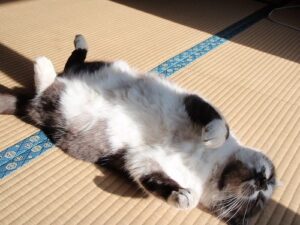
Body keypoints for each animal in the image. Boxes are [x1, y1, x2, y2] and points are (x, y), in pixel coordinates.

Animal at [0, 34, 276, 224]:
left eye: (259, 199)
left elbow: (154, 180)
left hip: (66, 109)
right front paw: (212, 137)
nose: (263, 182)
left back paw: (45, 68)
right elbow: (218, 125)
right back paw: (64, 51)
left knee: (44, 93)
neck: (209, 167)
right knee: (69, 65)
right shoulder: (189, 103)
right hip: (95, 72)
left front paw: (182, 197)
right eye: (269, 177)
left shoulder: (143, 160)